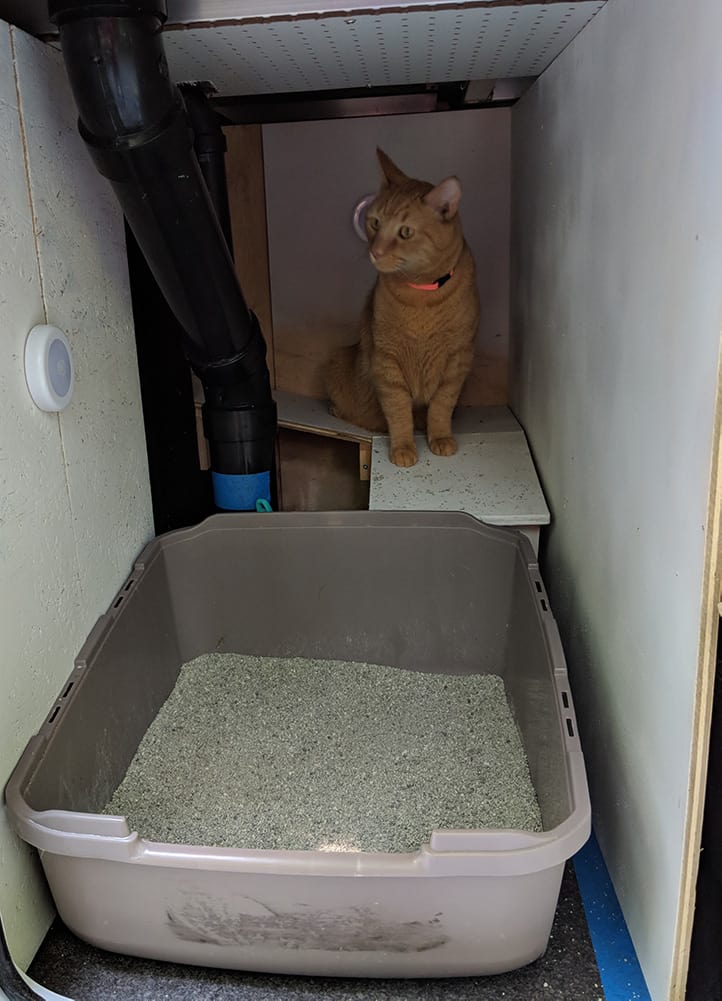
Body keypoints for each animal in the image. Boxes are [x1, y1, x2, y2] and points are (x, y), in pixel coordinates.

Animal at [324, 149, 478, 468]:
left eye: (405, 232)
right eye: (375, 223)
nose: (375, 251)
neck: (422, 295)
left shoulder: (457, 361)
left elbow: (441, 407)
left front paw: (440, 437)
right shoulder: (386, 361)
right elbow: (398, 412)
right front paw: (404, 448)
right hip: (337, 359)